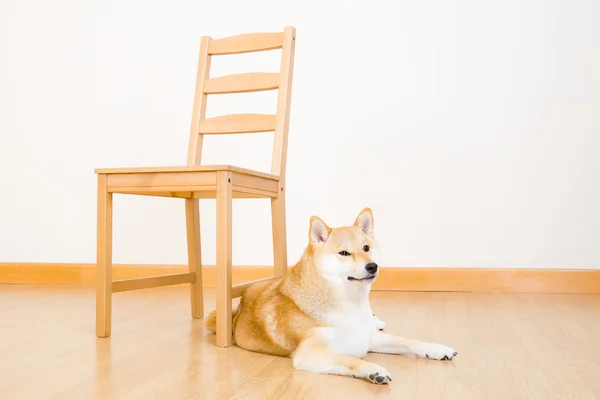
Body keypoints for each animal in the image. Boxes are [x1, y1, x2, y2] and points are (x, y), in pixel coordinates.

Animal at [204, 208, 458, 382]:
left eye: (366, 248)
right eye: (344, 253)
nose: (373, 266)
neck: (349, 304)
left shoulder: (368, 337)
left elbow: (409, 341)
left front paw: (438, 349)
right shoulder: (311, 353)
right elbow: (350, 360)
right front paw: (373, 370)